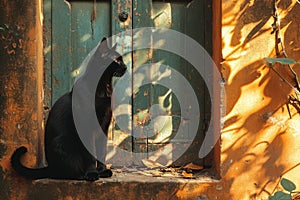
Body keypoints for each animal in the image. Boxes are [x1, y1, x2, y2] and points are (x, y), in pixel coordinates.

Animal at [10, 37, 126, 181]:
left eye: (122, 60)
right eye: (116, 60)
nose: (125, 66)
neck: (103, 86)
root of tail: (50, 166)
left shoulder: (104, 126)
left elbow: (101, 152)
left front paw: (103, 171)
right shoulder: (86, 127)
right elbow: (90, 155)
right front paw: (92, 173)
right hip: (63, 143)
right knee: (65, 174)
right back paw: (83, 175)